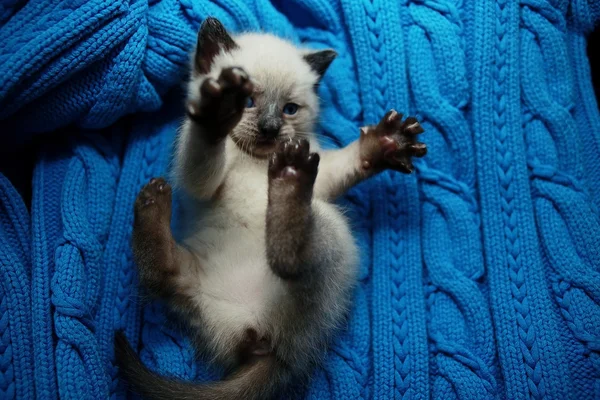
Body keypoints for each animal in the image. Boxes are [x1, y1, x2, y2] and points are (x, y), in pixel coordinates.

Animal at [116, 16, 426, 400]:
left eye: (289, 109)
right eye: (248, 101)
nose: (269, 129)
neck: (258, 159)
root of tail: (272, 347)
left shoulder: (316, 168)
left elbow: (346, 163)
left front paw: (386, 143)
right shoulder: (199, 179)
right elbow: (205, 145)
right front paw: (217, 111)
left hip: (324, 220)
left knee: (276, 263)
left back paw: (286, 184)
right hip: (210, 275)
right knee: (169, 276)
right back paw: (155, 201)